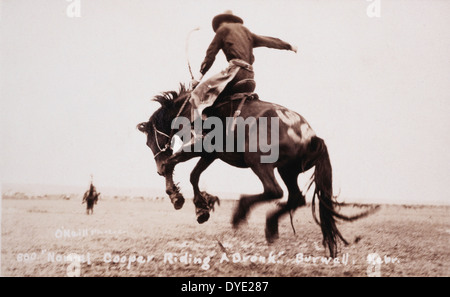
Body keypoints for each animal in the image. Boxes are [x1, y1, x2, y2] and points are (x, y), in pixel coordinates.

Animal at [137, 84, 376, 256]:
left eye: (150, 141)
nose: (157, 169)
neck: (190, 109)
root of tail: (310, 135)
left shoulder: (200, 147)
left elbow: (174, 164)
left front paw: (177, 197)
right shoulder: (210, 154)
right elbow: (193, 175)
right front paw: (201, 207)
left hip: (259, 161)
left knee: (274, 191)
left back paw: (242, 212)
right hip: (287, 170)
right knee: (295, 197)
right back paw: (270, 227)